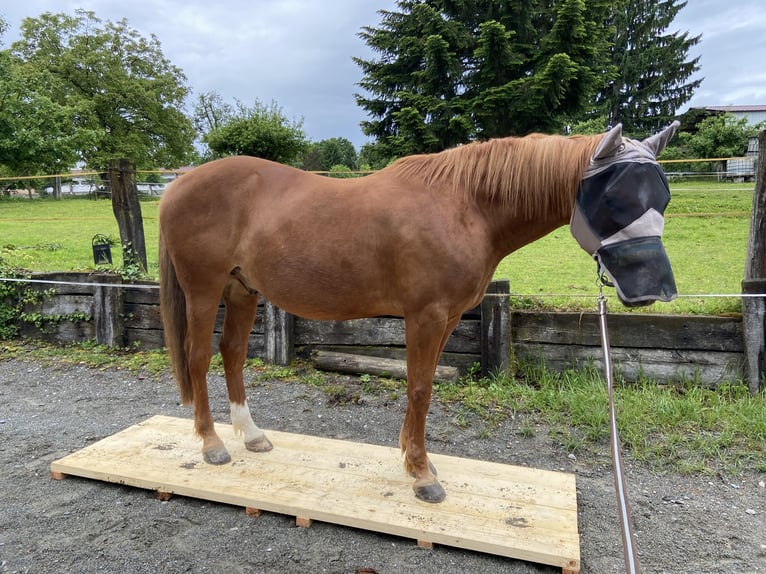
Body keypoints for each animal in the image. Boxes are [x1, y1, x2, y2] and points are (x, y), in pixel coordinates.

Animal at [158, 121, 679, 503]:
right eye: (613, 197)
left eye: (664, 196)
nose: (655, 290)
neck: (466, 206)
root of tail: (179, 183)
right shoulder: (425, 316)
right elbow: (421, 389)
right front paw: (423, 475)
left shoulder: (446, 319)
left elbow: (421, 386)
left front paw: (413, 461)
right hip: (204, 289)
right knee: (198, 357)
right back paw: (212, 444)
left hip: (242, 290)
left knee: (232, 353)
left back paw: (251, 435)